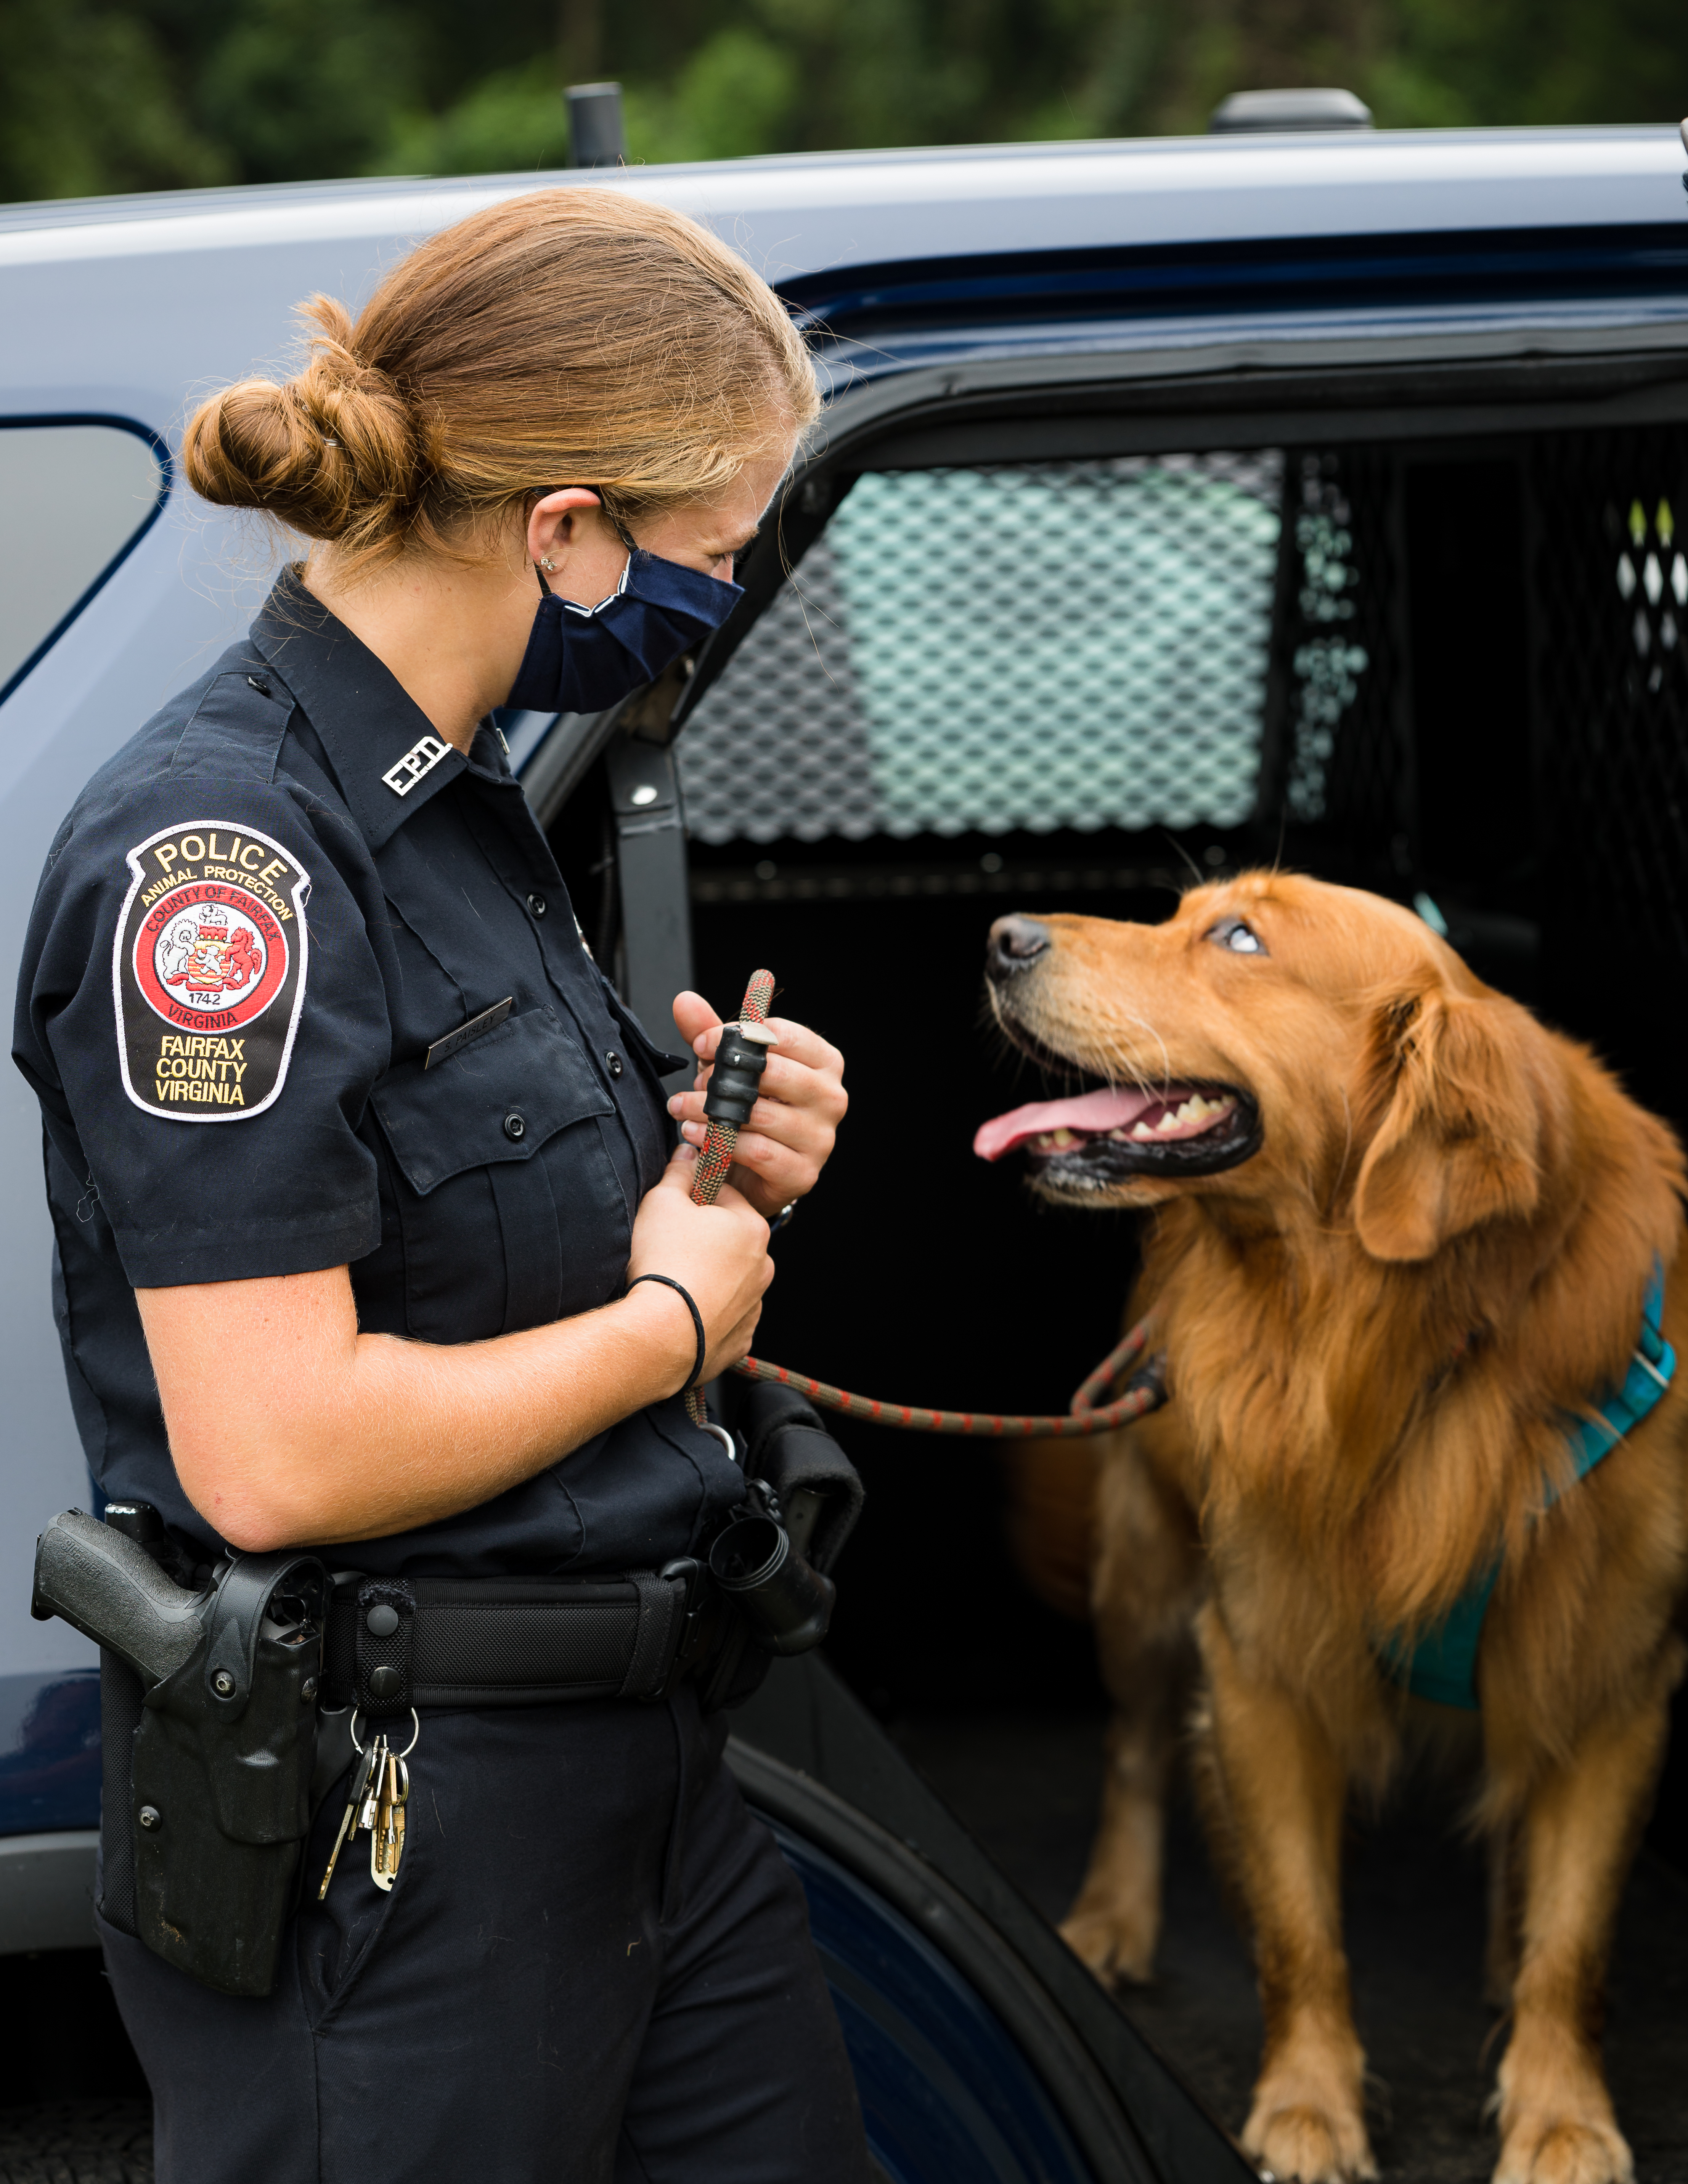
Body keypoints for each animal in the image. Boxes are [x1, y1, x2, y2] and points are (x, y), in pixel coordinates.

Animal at [974, 873, 1686, 2184]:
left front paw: (1561, 2115)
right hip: (1143, 1572)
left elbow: (1574, 1939)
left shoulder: (1614, 1679)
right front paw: (1307, 2108)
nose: (1002, 938)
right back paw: (1108, 1918)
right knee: (1133, 1750)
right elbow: (1299, 1931)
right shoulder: (1258, 1660)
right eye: (1181, 911)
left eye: (1240, 937)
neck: (1409, 1338)